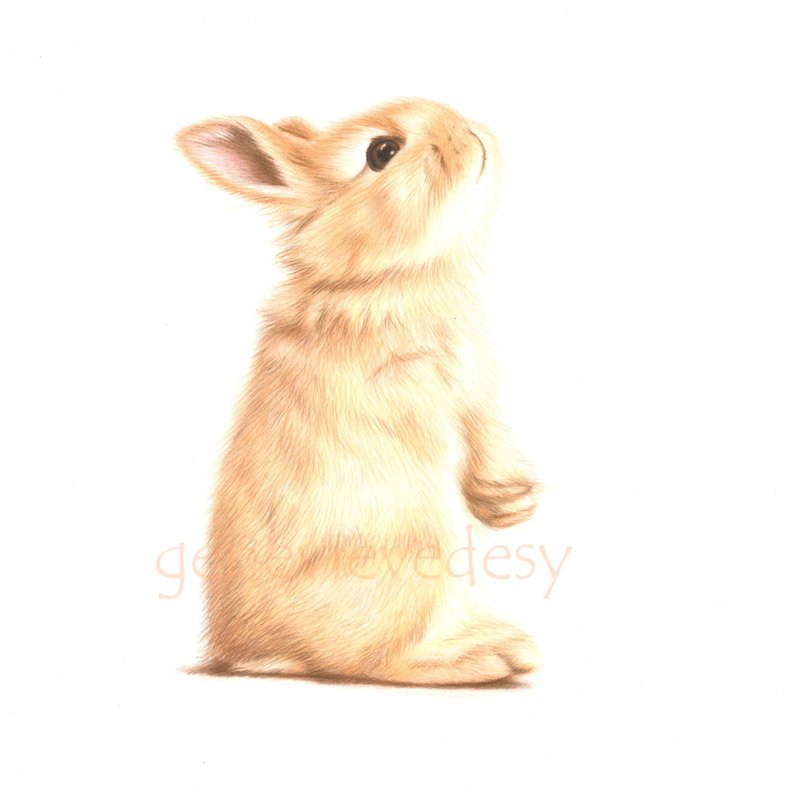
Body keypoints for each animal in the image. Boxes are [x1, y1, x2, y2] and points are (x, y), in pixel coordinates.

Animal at [176, 98, 541, 685]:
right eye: (381, 152)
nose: (467, 128)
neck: (387, 278)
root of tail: (244, 650)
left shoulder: (478, 385)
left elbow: (487, 432)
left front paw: (512, 503)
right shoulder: (420, 384)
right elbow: (449, 430)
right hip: (415, 550)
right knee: (372, 659)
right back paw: (489, 655)